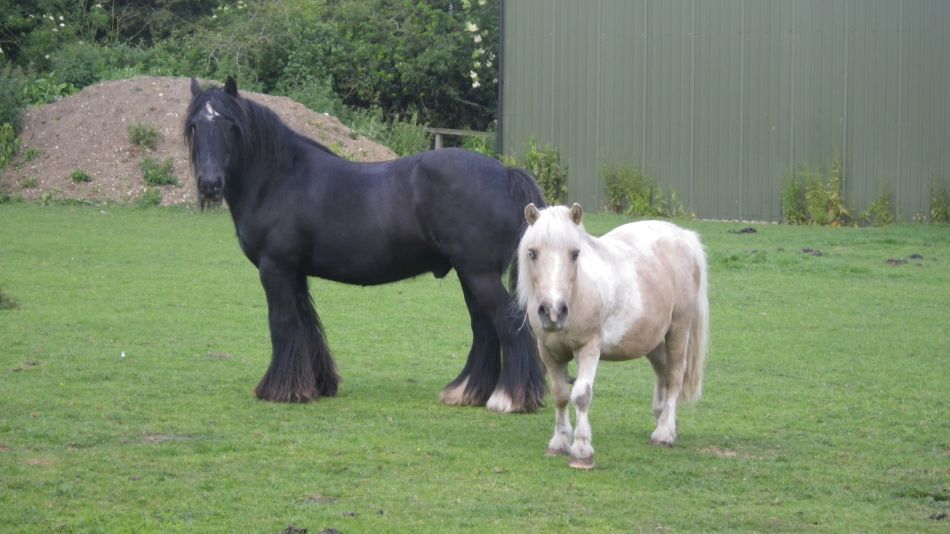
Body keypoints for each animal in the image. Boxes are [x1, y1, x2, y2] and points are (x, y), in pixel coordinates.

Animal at [183, 77, 547, 413]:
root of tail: (504, 173)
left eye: (231, 125)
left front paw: (280, 390)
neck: (280, 177)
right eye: (195, 125)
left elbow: (283, 324)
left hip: (478, 273)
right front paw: (317, 385)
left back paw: (509, 398)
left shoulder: (276, 269)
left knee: (507, 323)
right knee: (484, 327)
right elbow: (307, 324)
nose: (210, 183)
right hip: (469, 274)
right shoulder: (296, 273)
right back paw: (466, 393)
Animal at [517, 203, 709, 468]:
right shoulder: (549, 353)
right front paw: (559, 442)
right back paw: (664, 421)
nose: (553, 312)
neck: (578, 293)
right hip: (650, 339)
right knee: (663, 370)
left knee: (674, 376)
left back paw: (664, 433)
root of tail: (684, 237)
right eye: (532, 253)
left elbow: (581, 396)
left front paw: (582, 450)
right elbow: (560, 395)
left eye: (575, 254)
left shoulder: (589, 348)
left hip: (679, 329)